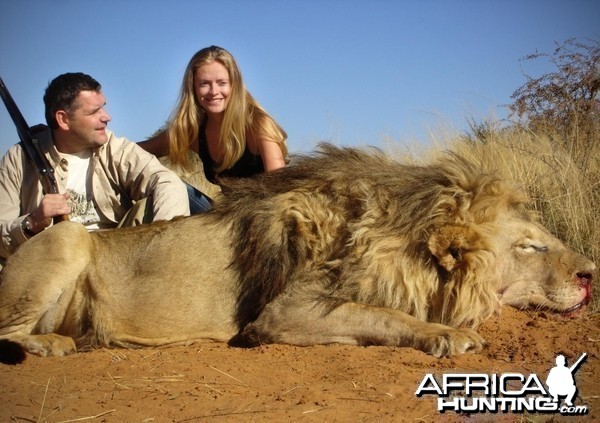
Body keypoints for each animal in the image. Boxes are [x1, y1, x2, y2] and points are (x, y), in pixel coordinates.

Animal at [0, 144, 592, 362]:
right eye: (531, 245)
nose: (591, 274)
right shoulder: (281, 314)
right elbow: (381, 315)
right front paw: (447, 335)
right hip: (67, 239)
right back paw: (51, 345)